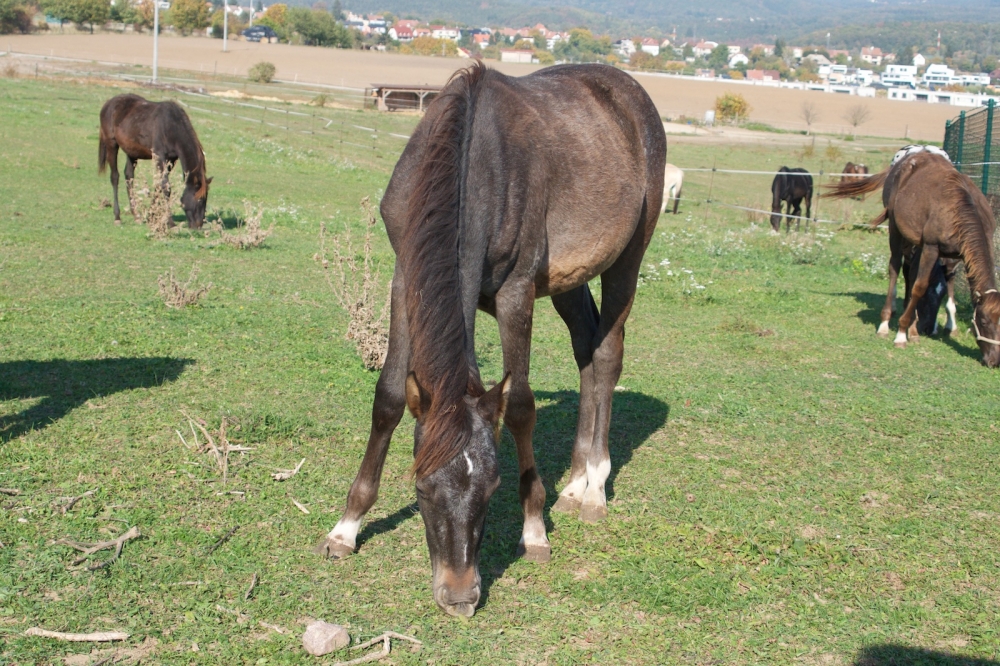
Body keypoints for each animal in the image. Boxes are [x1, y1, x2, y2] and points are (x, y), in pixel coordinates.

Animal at [97, 93, 211, 228]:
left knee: (129, 176)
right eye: (199, 199)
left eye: (206, 199)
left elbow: (158, 184)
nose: (198, 225)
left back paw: (136, 215)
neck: (171, 126)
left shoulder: (171, 160)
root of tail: (108, 103)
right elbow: (165, 186)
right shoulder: (159, 156)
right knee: (115, 176)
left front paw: (151, 215)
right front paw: (170, 222)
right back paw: (117, 217)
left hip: (131, 152)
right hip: (112, 144)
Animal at [316, 59, 668, 616]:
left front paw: (535, 531)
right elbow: (389, 397)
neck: (473, 161)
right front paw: (346, 528)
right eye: (421, 489)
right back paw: (574, 483)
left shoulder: (516, 291)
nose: (460, 596)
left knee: (609, 353)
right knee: (586, 351)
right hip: (567, 281)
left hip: (627, 258)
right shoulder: (404, 276)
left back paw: (594, 489)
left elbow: (520, 404)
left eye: (492, 487)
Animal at [824, 148, 1000, 366]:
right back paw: (886, 323)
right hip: (896, 231)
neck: (961, 210)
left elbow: (940, 284)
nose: (994, 360)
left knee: (910, 272)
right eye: (983, 321)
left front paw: (934, 326)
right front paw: (901, 334)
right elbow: (919, 287)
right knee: (895, 268)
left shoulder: (954, 257)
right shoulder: (931, 248)